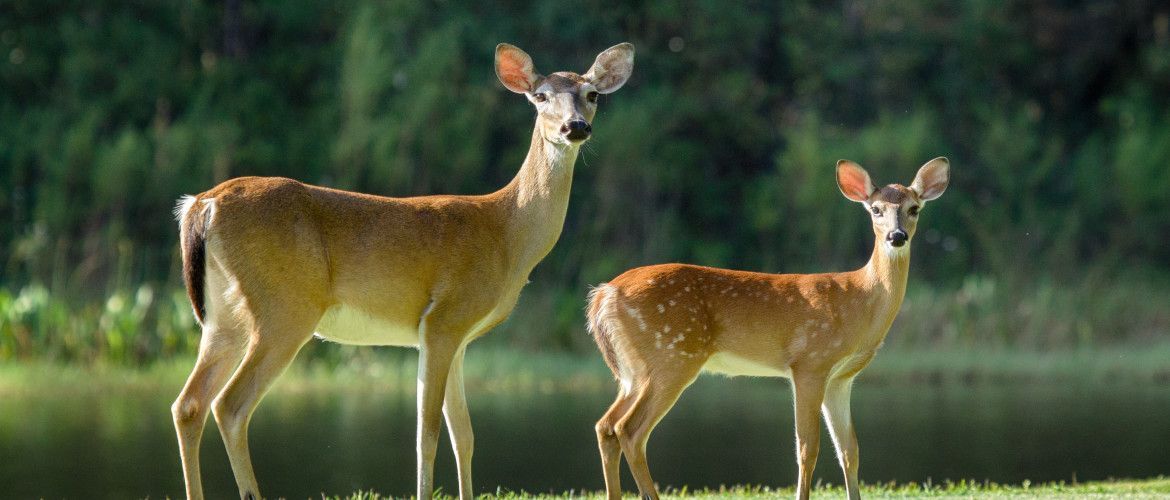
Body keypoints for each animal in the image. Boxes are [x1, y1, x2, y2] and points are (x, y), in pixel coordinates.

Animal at [170, 42, 634, 500]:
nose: (575, 127)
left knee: (188, 404)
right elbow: (427, 433)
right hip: (284, 308)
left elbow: (464, 434)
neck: (507, 232)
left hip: (222, 317)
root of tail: (202, 204)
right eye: (540, 96)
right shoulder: (443, 318)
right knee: (230, 405)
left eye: (592, 95)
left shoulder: (458, 337)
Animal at [586, 157, 950, 500]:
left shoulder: (842, 377)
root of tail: (604, 293)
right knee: (630, 430)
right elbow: (807, 448)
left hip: (635, 370)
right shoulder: (809, 364)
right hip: (672, 356)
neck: (859, 301)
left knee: (606, 425)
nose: (897, 236)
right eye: (875, 209)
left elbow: (849, 450)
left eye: (914, 208)